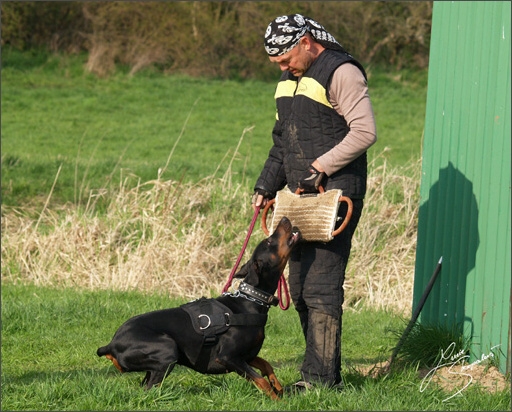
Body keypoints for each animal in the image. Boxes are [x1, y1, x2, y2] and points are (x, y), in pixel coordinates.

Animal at [97, 216, 300, 400]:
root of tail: (111, 344)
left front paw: (279, 387)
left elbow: (266, 365)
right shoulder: (227, 357)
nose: (284, 218)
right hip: (167, 349)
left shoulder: (246, 355)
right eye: (269, 241)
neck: (250, 301)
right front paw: (276, 400)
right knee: (149, 390)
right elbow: (260, 380)